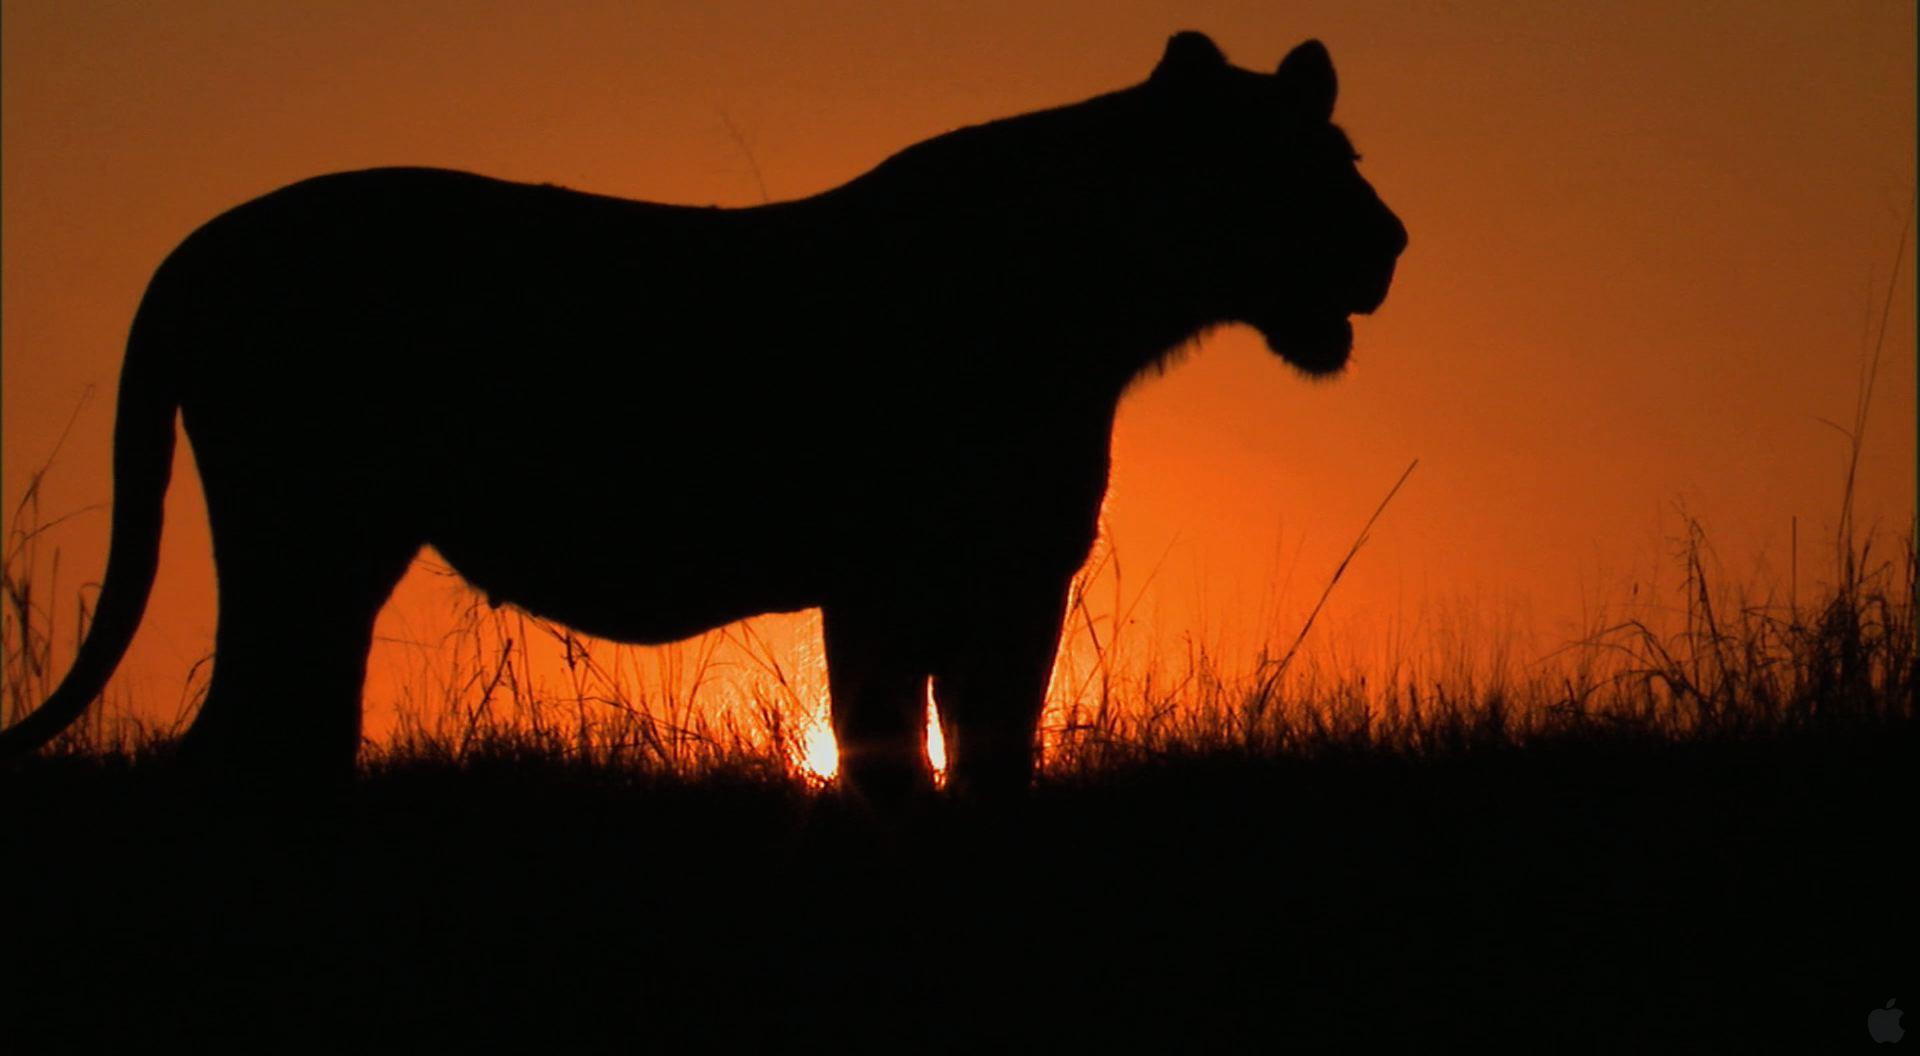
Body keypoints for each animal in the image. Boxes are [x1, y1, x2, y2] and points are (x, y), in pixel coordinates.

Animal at [0, 32, 1405, 800]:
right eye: (1314, 165)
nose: (1392, 242)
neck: (1106, 299)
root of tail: (201, 245)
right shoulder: (888, 578)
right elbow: (893, 760)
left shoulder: (1014, 575)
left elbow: (989, 761)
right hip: (307, 537)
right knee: (233, 749)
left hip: (331, 558)